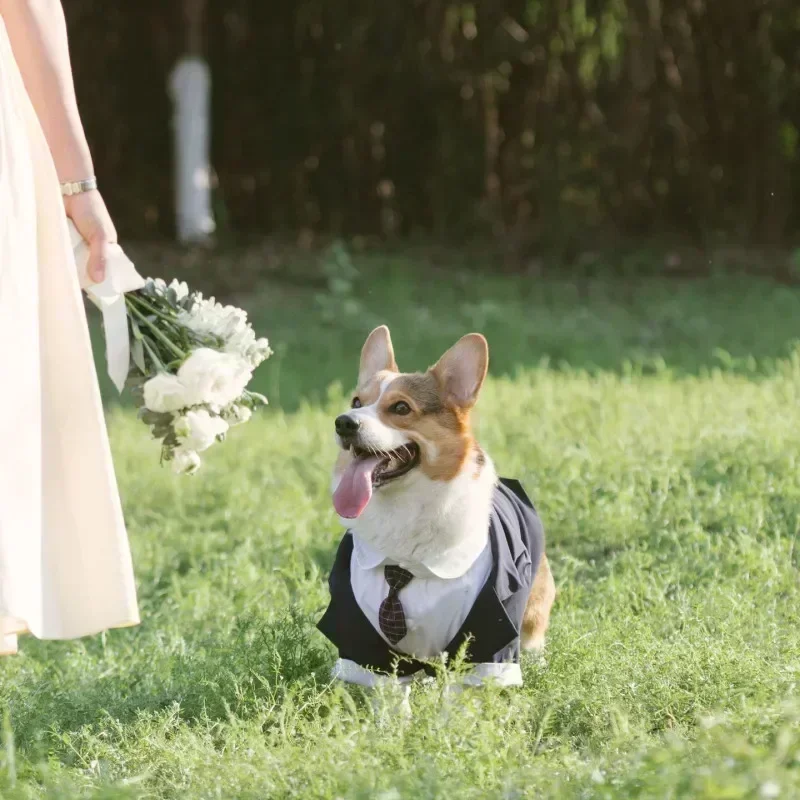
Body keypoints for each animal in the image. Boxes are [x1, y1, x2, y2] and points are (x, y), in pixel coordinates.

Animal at [316, 328, 552, 692]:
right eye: (356, 402)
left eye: (400, 407)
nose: (343, 423)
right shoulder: (366, 638)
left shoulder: (485, 636)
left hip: (533, 605)